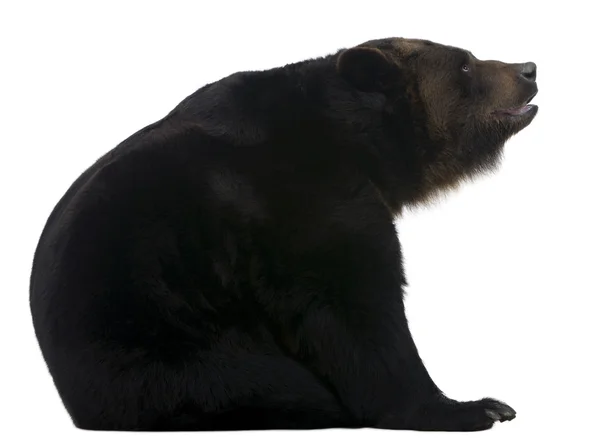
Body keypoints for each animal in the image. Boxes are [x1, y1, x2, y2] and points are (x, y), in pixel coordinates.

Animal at [29, 37, 540, 432]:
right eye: (466, 63)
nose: (529, 69)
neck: (362, 144)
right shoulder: (300, 198)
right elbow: (354, 304)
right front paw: (473, 407)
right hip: (168, 342)